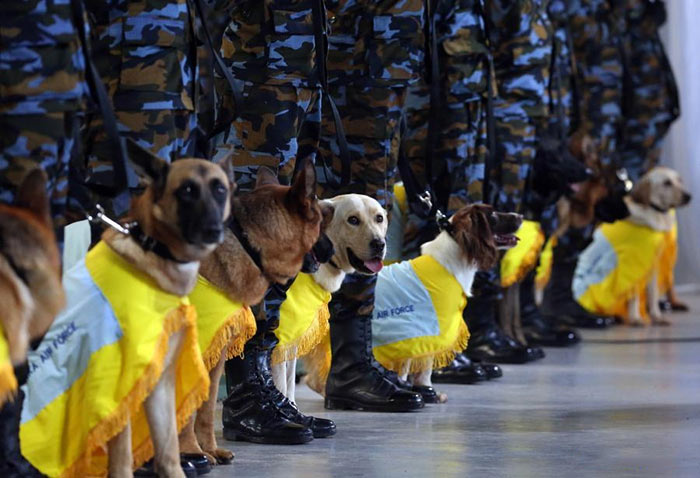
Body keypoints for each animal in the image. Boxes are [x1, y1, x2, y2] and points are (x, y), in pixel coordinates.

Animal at [178, 160, 326, 464]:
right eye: (321, 220)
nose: (330, 250)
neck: (248, 243)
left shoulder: (215, 353)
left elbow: (205, 409)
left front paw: (207, 450)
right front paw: (191, 453)